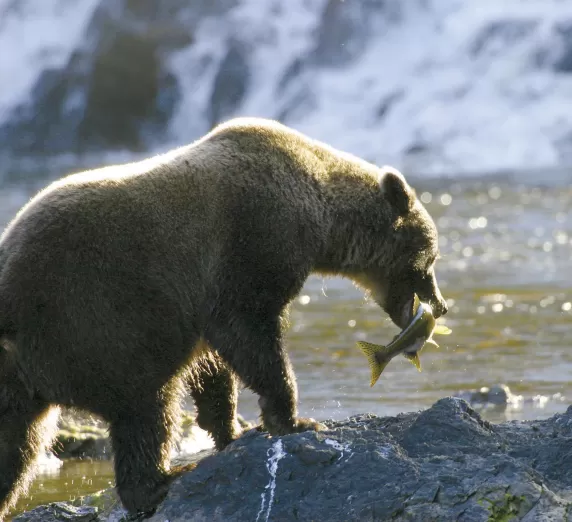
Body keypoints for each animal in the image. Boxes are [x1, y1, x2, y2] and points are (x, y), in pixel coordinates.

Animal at [0, 117, 446, 516]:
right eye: (430, 258)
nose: (440, 304)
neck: (320, 217)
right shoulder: (252, 241)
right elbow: (249, 332)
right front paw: (295, 420)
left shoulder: (204, 301)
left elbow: (215, 366)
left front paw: (234, 428)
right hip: (96, 320)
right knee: (146, 406)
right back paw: (162, 480)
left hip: (23, 379)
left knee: (15, 448)